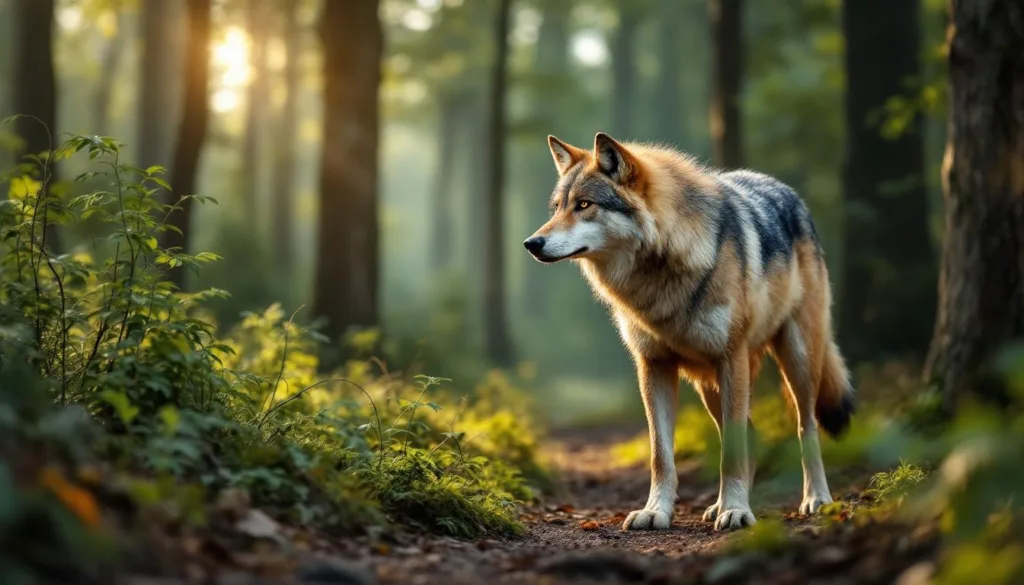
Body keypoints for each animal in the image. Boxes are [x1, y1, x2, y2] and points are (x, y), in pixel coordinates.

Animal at [524, 132, 855, 531]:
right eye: (557, 208)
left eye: (584, 205)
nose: (531, 243)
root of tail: (788, 191)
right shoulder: (653, 366)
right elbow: (661, 456)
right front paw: (656, 512)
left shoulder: (731, 357)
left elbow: (731, 452)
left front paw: (737, 510)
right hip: (710, 385)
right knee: (749, 432)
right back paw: (725, 504)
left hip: (794, 361)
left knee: (806, 428)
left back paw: (815, 498)